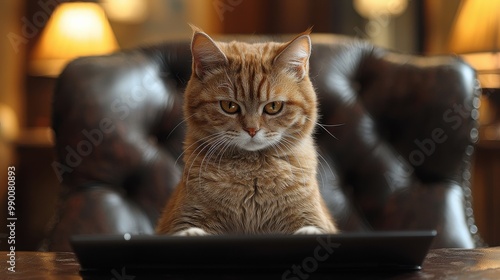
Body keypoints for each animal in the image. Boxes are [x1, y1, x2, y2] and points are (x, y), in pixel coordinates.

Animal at [156, 27, 336, 236]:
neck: (252, 173)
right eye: (229, 106)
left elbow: (311, 228)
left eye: (273, 107)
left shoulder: (315, 218)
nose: (251, 129)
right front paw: (192, 234)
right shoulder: (181, 218)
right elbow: (188, 229)